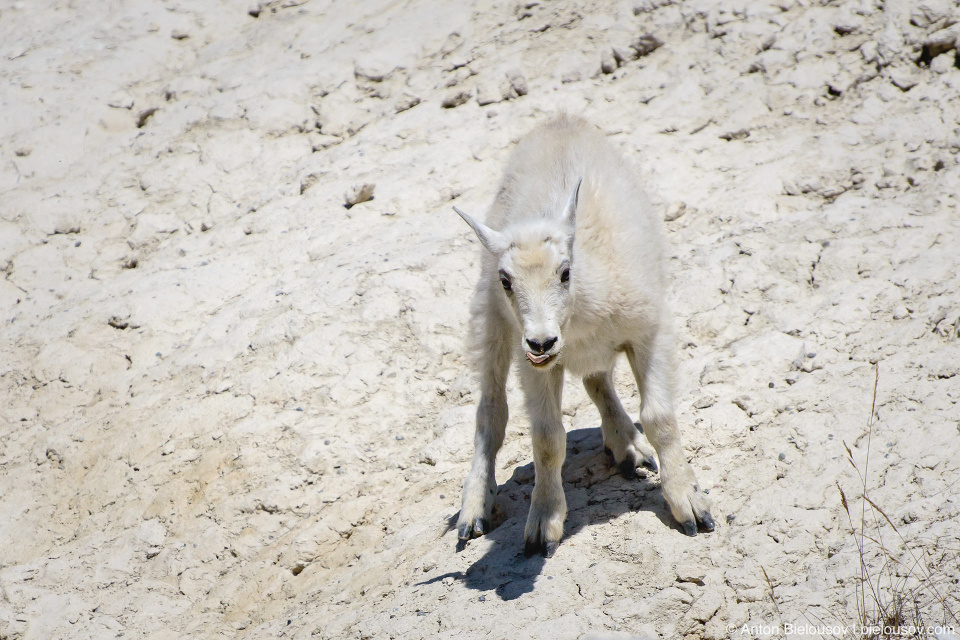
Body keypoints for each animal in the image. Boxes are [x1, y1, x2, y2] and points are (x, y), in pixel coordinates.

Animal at [452, 115, 712, 556]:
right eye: (506, 280)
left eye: (565, 272)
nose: (542, 342)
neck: (581, 315)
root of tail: (560, 121)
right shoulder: (533, 366)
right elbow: (546, 439)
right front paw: (543, 523)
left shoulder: (650, 331)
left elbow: (659, 418)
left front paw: (689, 504)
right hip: (491, 325)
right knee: (491, 412)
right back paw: (474, 507)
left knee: (597, 380)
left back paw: (629, 446)